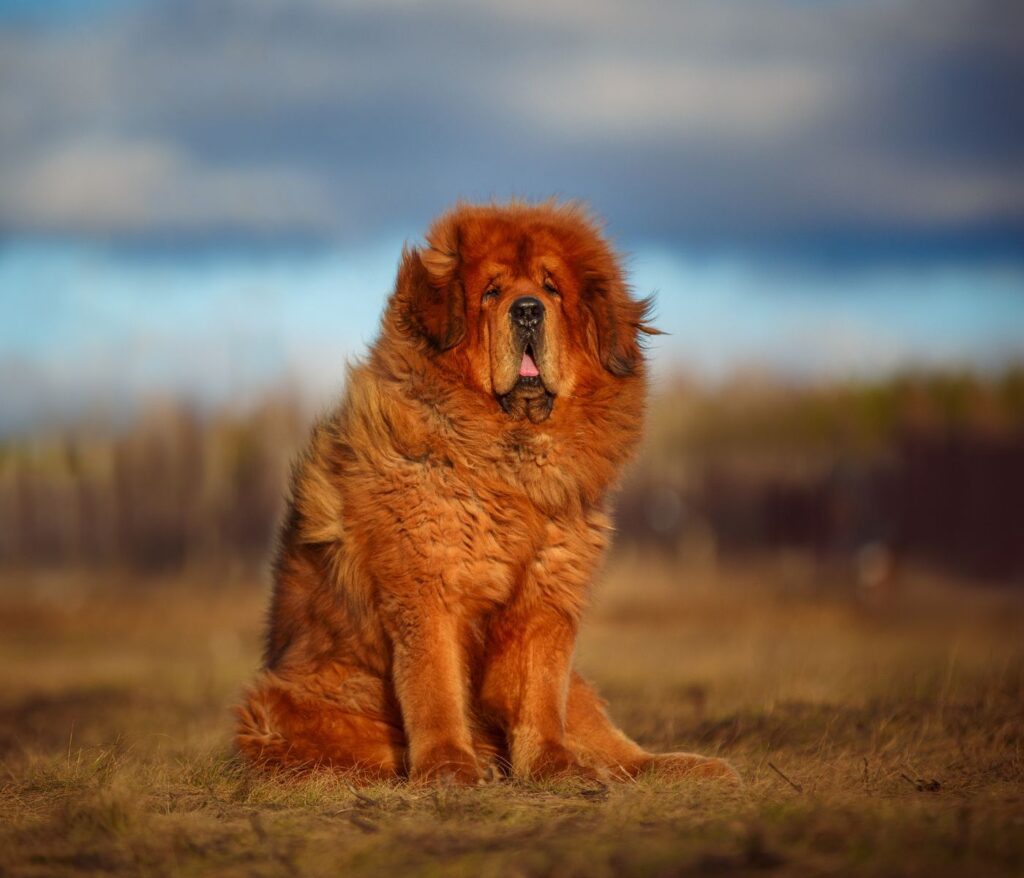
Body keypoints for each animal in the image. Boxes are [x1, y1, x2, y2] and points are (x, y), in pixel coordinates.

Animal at [236, 201, 741, 782]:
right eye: (491, 292)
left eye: (551, 289)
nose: (527, 312)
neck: (509, 466)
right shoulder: (428, 589)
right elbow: (435, 687)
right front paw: (448, 767)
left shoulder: (546, 597)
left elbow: (539, 693)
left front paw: (553, 766)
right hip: (284, 703)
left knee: (619, 750)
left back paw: (689, 767)